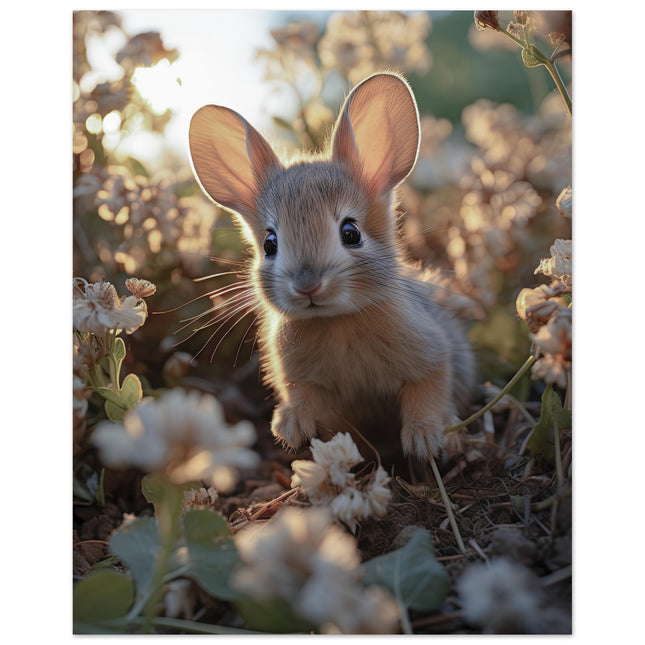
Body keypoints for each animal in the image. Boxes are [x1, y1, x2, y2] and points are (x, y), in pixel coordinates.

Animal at [188, 72, 474, 459]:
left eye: (351, 233)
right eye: (270, 244)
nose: (307, 284)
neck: (337, 321)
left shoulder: (432, 356)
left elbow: (427, 392)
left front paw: (424, 439)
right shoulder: (299, 379)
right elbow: (302, 397)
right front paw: (291, 427)